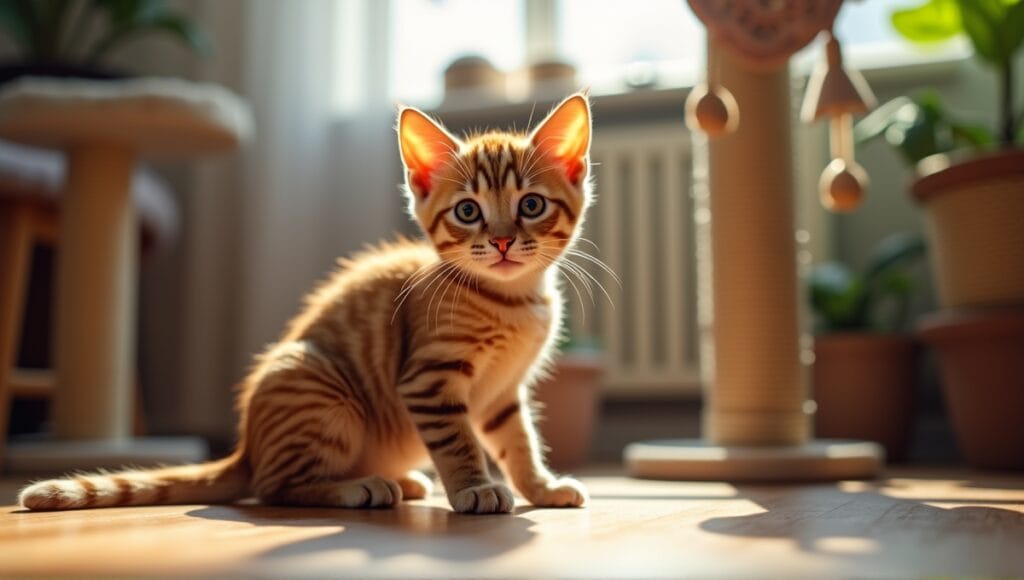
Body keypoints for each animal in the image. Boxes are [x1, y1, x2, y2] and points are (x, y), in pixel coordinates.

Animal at [19, 93, 598, 516]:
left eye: (531, 205)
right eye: (468, 212)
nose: (501, 241)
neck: (513, 300)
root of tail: (247, 446)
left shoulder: (502, 393)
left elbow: (519, 441)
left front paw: (540, 487)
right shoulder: (428, 380)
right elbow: (458, 441)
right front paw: (474, 488)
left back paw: (399, 479)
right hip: (319, 391)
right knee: (274, 486)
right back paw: (359, 487)